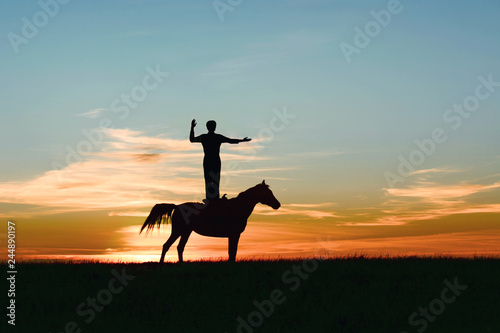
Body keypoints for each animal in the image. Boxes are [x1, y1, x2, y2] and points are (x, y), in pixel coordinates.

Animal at [140, 180, 282, 260]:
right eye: (267, 193)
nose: (278, 204)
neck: (238, 207)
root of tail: (177, 206)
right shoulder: (234, 235)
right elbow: (232, 253)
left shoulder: (233, 235)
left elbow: (232, 252)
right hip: (178, 230)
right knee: (166, 246)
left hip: (186, 232)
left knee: (180, 247)